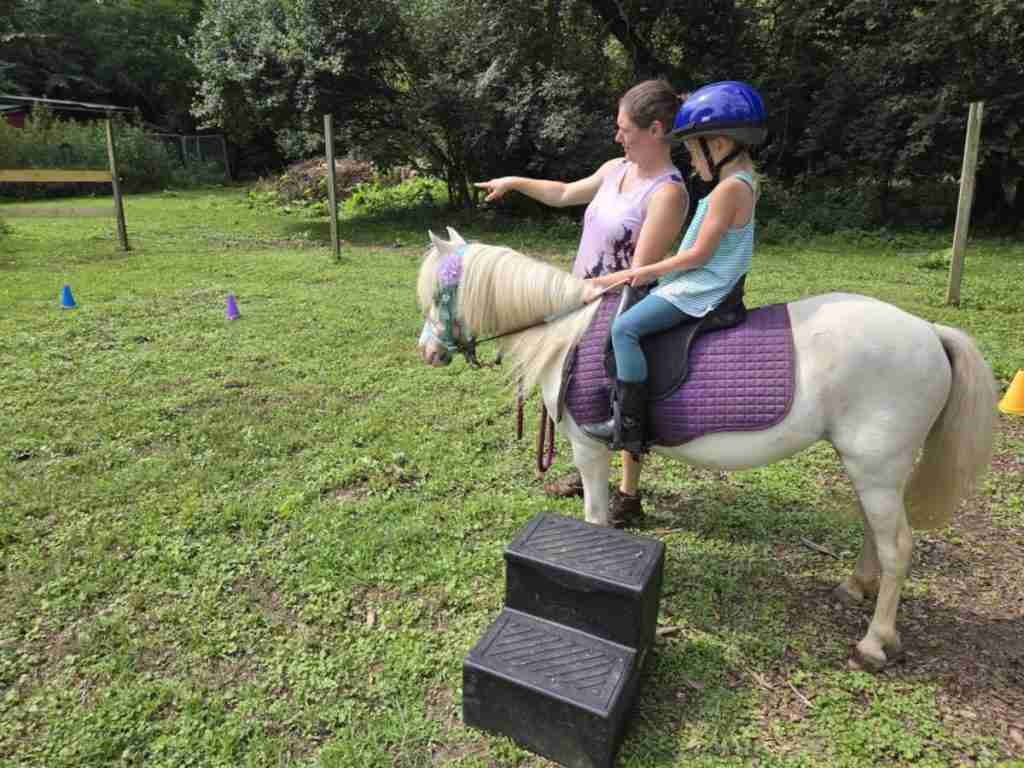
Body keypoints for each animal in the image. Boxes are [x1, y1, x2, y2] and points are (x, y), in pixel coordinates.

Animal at [416, 228, 998, 671]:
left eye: (438, 295)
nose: (427, 352)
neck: (571, 335)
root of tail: (930, 332)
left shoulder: (589, 449)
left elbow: (595, 517)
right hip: (868, 468)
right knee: (874, 532)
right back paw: (854, 586)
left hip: (877, 468)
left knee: (898, 546)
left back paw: (875, 643)